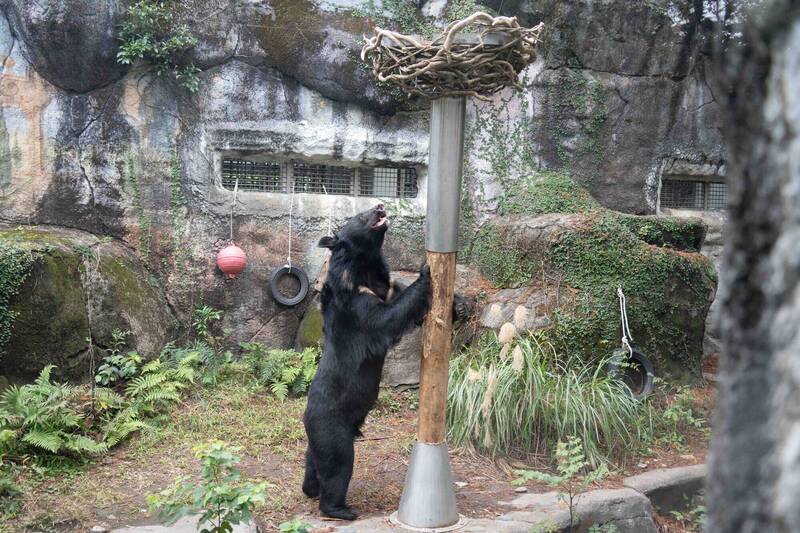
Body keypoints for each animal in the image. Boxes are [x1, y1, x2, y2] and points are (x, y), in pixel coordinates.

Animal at [302, 203, 432, 520]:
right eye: (362, 216)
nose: (380, 206)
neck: (364, 267)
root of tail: (306, 419)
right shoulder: (358, 307)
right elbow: (387, 319)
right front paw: (425, 272)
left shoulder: (384, 285)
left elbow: (398, 293)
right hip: (332, 428)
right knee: (337, 465)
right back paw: (341, 509)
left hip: (320, 437)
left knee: (313, 461)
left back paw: (310, 489)